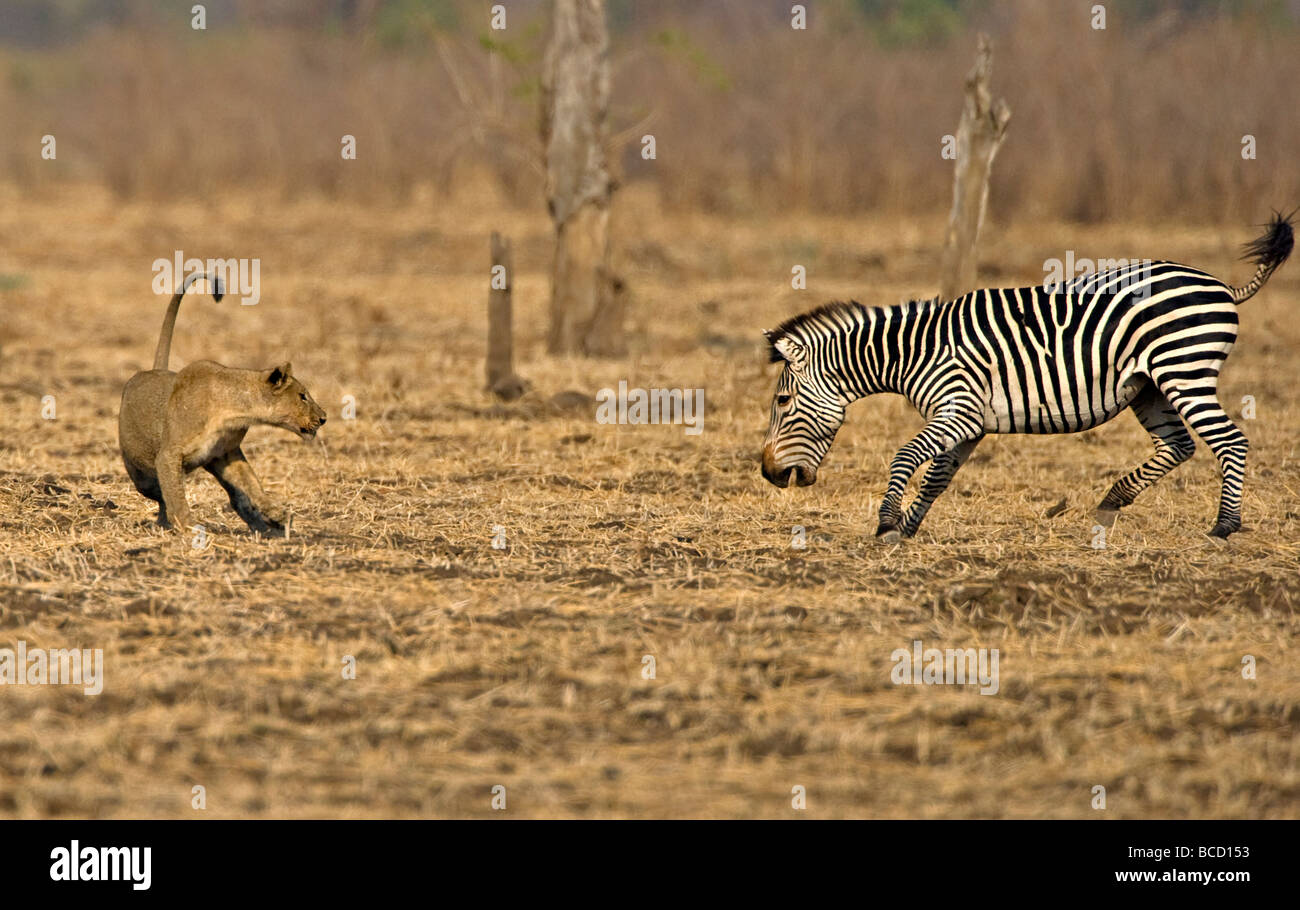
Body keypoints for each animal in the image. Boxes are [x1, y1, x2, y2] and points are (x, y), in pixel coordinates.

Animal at [759, 213, 1289, 540]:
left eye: (782, 402)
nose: (767, 474)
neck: (914, 353)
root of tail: (1222, 285)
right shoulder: (970, 421)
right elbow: (937, 476)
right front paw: (907, 529)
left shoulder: (957, 408)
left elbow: (906, 455)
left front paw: (888, 522)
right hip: (1149, 387)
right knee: (1177, 446)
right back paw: (1110, 503)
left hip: (1184, 370)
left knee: (1230, 441)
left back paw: (1224, 526)